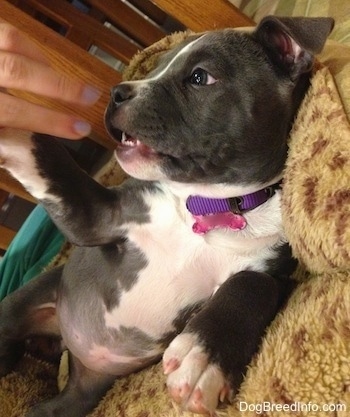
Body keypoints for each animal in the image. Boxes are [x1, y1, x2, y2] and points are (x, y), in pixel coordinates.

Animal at [0, 15, 334, 416]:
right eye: (155, 69)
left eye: (200, 77)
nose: (117, 92)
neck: (207, 207)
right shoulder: (96, 215)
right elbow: (46, 156)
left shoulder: (274, 274)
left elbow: (253, 285)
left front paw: (204, 356)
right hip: (23, 305)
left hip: (78, 396)